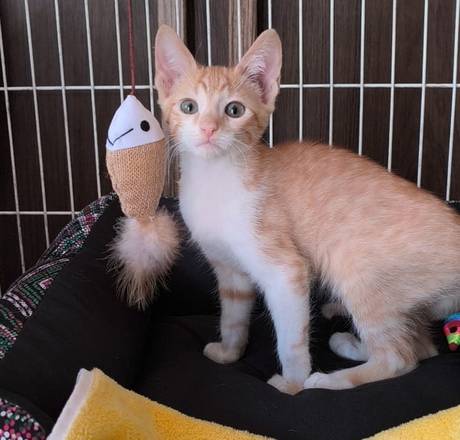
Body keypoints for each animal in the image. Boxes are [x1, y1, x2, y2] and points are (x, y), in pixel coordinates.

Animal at [153, 24, 460, 394]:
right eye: (188, 106)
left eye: (234, 111)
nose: (209, 128)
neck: (217, 180)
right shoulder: (229, 271)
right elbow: (233, 317)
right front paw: (229, 351)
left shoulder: (286, 272)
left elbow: (291, 340)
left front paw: (292, 385)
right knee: (422, 348)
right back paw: (350, 343)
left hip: (358, 270)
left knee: (400, 358)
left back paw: (329, 380)